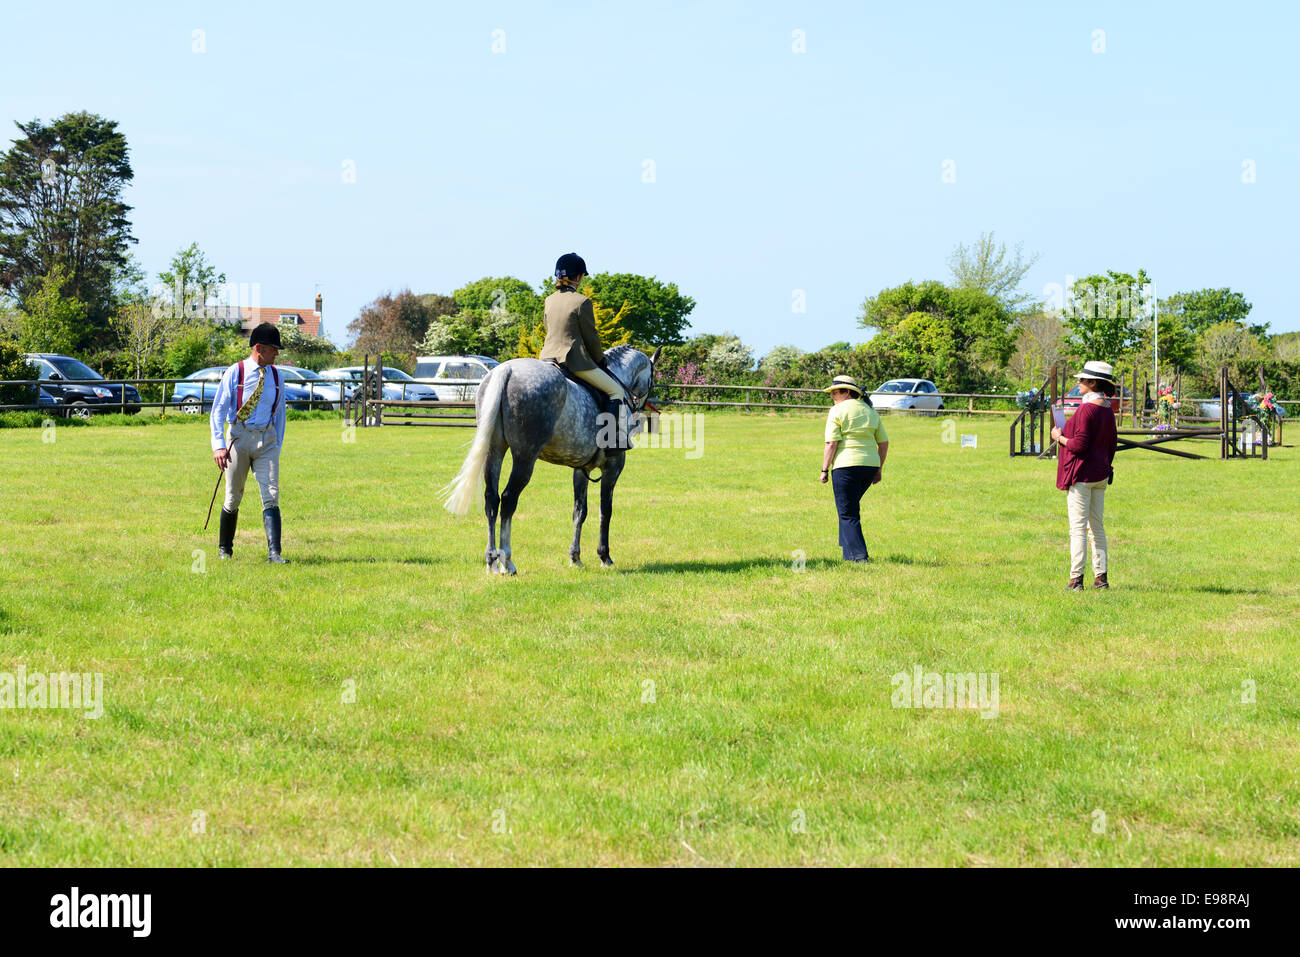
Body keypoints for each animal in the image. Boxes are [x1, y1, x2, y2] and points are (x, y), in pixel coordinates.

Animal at [441, 348, 660, 572]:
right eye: (652, 380)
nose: (642, 408)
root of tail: (507, 370)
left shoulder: (581, 469)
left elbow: (580, 511)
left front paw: (575, 557)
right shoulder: (613, 466)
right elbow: (605, 511)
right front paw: (604, 556)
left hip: (494, 451)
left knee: (491, 499)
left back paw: (491, 561)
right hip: (525, 457)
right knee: (509, 499)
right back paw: (507, 562)